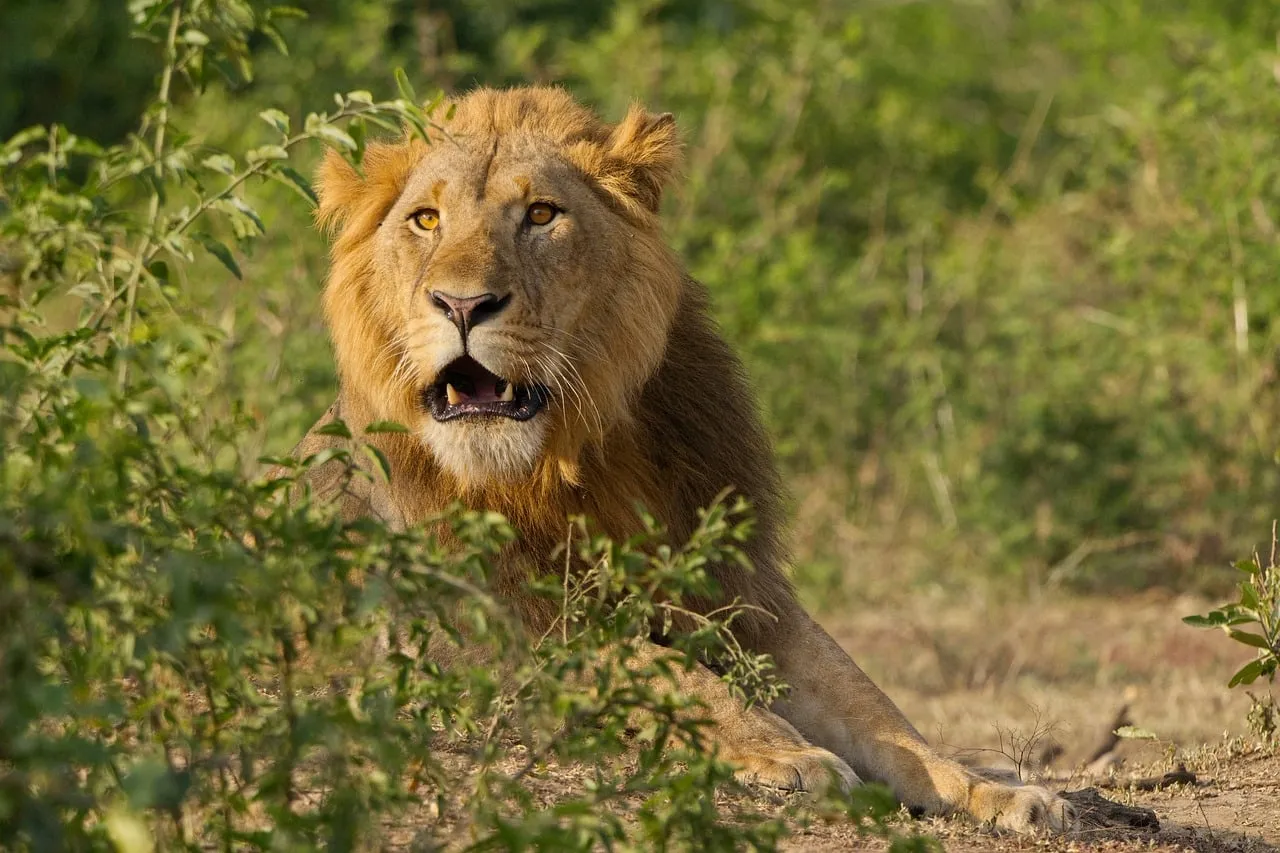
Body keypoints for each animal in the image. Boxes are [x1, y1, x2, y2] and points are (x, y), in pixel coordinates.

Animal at [283, 85, 1074, 834]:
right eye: (425, 220)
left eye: (540, 215)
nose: (461, 304)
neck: (563, 462)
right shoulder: (482, 626)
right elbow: (664, 668)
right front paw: (791, 753)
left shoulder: (742, 594)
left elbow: (875, 707)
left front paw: (999, 790)